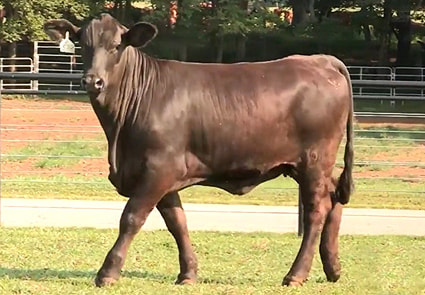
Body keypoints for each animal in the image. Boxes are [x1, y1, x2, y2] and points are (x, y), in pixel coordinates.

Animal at [44, 13, 352, 290]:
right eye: (84, 44)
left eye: (117, 45)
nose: (92, 81)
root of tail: (320, 60)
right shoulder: (163, 174)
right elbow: (177, 222)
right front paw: (188, 273)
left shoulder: (158, 169)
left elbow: (131, 218)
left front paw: (107, 273)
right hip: (308, 166)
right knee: (334, 196)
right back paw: (333, 267)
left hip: (314, 160)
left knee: (316, 211)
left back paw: (296, 274)